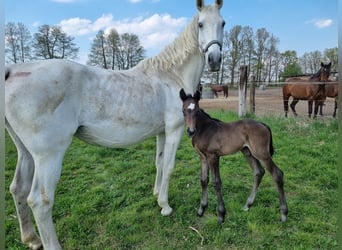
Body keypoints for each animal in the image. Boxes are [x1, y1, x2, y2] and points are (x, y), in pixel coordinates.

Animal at [179, 89, 288, 224]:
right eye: (183, 111)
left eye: (197, 111)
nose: (190, 131)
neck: (204, 129)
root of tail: (263, 124)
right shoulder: (203, 157)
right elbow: (204, 180)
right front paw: (201, 209)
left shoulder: (213, 156)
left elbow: (216, 182)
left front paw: (221, 215)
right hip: (247, 152)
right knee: (259, 172)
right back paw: (248, 205)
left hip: (262, 153)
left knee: (277, 174)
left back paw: (283, 214)